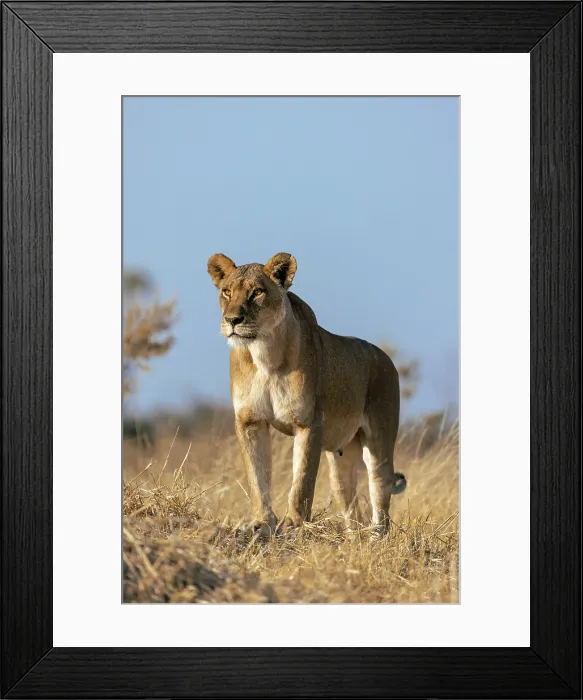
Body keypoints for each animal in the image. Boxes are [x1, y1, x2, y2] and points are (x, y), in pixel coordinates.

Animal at [207, 252, 406, 539]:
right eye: (226, 292)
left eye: (257, 292)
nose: (232, 320)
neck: (264, 355)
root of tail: (386, 358)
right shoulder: (250, 421)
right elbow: (257, 476)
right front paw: (261, 522)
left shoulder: (309, 422)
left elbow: (302, 481)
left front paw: (294, 524)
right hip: (341, 459)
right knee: (350, 505)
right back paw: (352, 538)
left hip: (379, 440)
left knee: (380, 493)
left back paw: (376, 537)